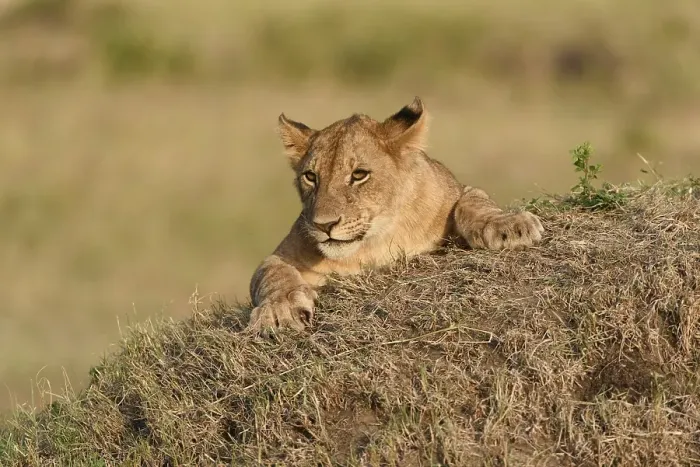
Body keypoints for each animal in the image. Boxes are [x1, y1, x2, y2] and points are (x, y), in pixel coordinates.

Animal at [247, 97, 544, 334]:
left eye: (359, 175)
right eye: (310, 177)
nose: (324, 225)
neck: (374, 242)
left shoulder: (459, 192)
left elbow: (473, 202)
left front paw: (509, 225)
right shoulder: (281, 255)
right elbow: (273, 275)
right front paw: (279, 310)